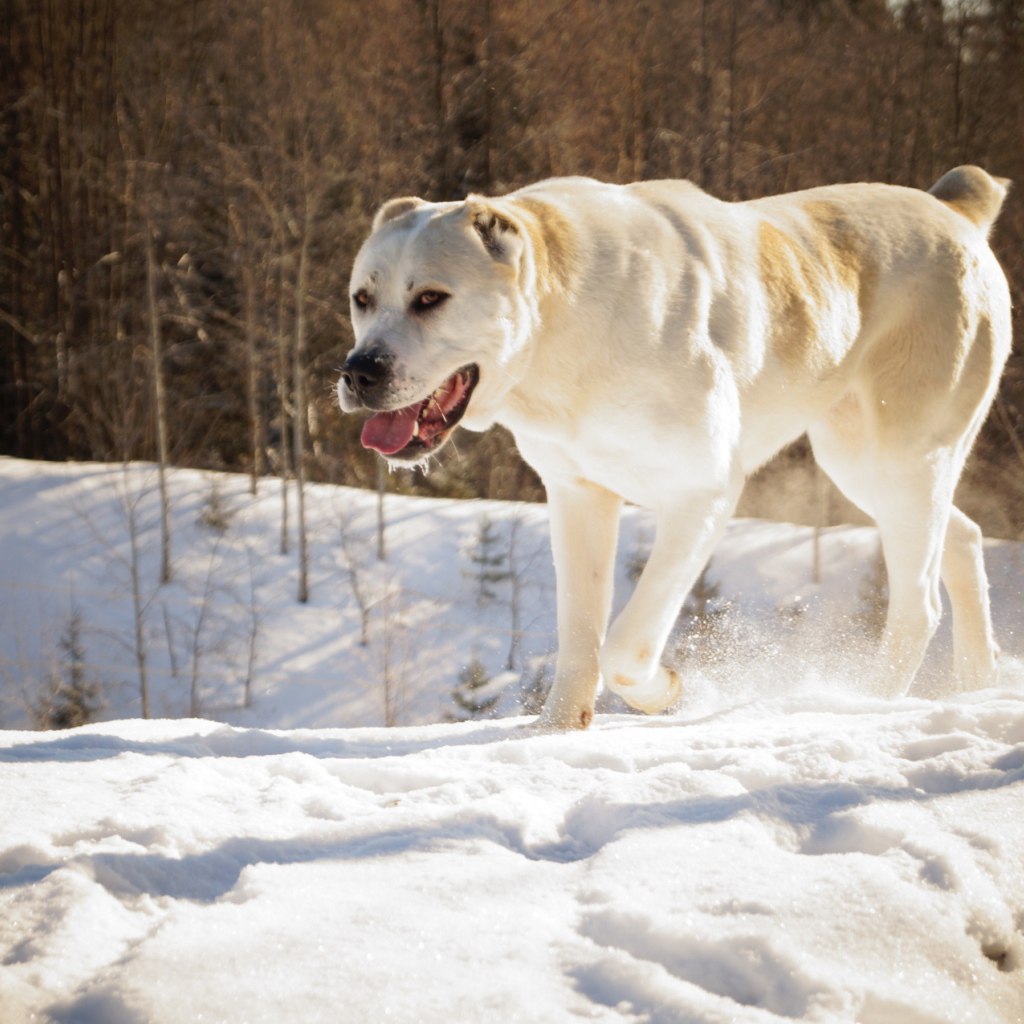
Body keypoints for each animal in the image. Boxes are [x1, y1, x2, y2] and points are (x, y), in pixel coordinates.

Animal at [339, 165, 1011, 729]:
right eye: (362, 299)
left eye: (430, 298)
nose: (359, 371)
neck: (563, 329)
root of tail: (953, 209)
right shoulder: (578, 495)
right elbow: (580, 633)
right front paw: (556, 731)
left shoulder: (702, 493)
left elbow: (624, 645)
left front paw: (666, 691)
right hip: (866, 464)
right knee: (963, 538)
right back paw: (977, 682)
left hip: (899, 458)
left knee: (920, 602)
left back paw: (864, 702)